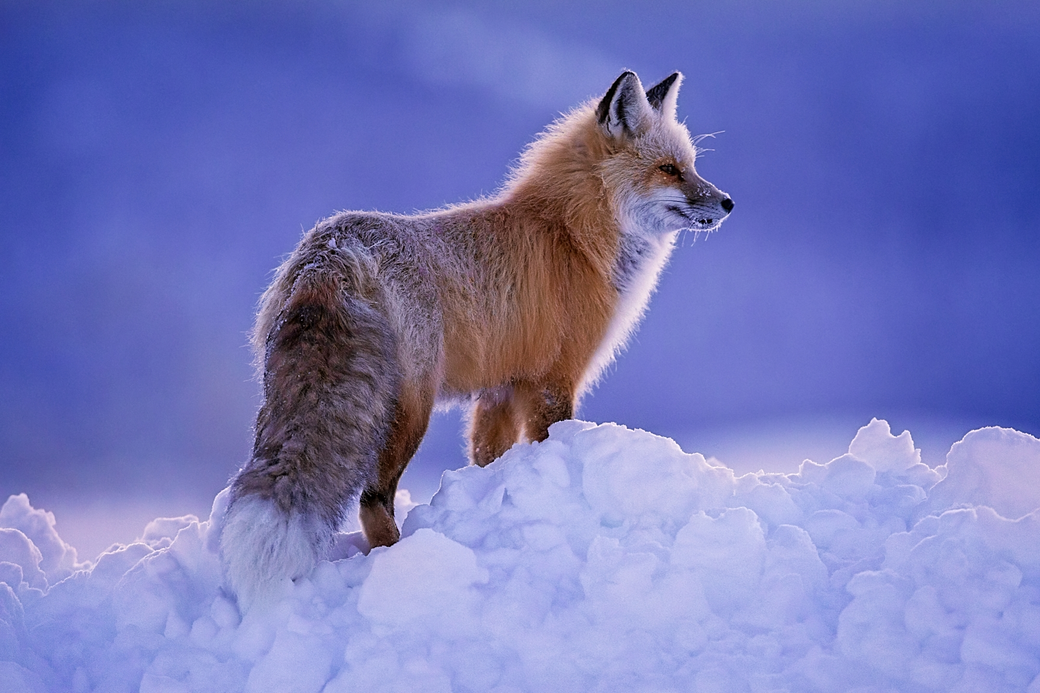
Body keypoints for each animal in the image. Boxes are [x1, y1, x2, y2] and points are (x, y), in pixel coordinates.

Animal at [220, 70, 733, 607]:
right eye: (669, 170)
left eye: (691, 166)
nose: (728, 202)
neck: (573, 237)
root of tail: (333, 250)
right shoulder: (555, 379)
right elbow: (550, 437)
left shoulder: (502, 388)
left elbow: (489, 459)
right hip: (411, 408)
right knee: (371, 499)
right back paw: (409, 561)